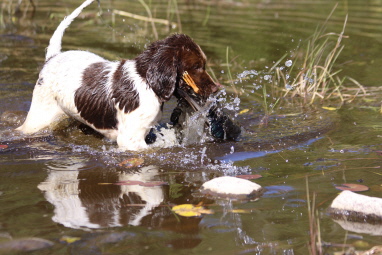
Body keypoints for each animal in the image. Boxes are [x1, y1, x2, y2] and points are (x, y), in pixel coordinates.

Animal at [16, 0, 218, 151]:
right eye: (197, 66)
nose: (217, 88)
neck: (146, 81)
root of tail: (53, 57)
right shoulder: (130, 140)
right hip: (39, 117)